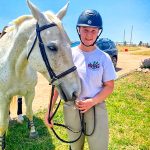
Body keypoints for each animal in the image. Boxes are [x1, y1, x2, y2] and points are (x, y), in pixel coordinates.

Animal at [0, 0, 81, 149]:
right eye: (52, 47)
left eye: (70, 44)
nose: (75, 92)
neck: (16, 68)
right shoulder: (2, 97)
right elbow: (2, 125)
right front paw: (2, 143)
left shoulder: (30, 92)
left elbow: (30, 112)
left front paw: (32, 131)